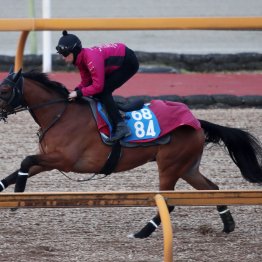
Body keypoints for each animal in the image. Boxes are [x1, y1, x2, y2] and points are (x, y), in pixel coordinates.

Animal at [0, 68, 260, 239]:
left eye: (4, 89)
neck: (60, 114)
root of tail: (196, 121)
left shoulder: (64, 159)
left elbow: (25, 160)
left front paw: (18, 195)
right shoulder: (48, 160)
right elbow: (19, 168)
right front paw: (9, 190)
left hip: (170, 166)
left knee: (169, 203)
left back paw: (142, 232)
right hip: (188, 167)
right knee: (212, 188)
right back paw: (228, 223)